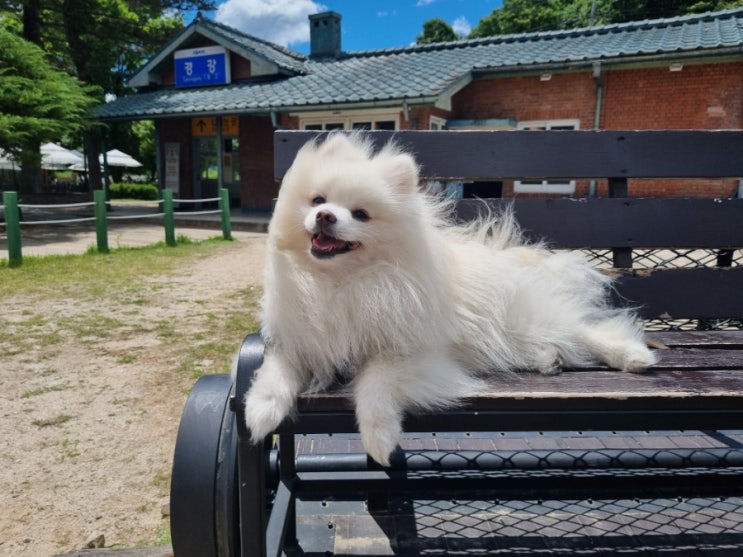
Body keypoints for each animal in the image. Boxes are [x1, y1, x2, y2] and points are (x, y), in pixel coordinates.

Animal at [241, 133, 656, 466]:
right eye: (318, 200)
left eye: (360, 214)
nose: (325, 216)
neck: (340, 284)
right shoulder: (299, 341)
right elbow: (276, 372)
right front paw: (261, 410)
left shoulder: (412, 354)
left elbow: (373, 385)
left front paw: (379, 438)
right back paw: (547, 359)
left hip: (530, 317)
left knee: (586, 330)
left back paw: (632, 356)